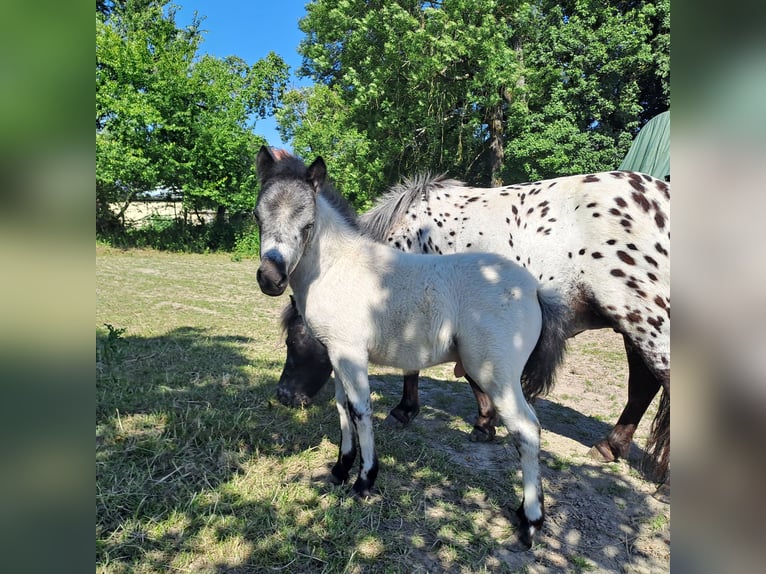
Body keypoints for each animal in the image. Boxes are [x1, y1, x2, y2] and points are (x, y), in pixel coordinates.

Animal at [255, 147, 572, 548]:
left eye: (308, 224)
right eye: (257, 216)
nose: (271, 279)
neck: (337, 269)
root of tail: (533, 289)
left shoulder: (351, 355)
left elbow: (360, 411)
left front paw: (365, 481)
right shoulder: (338, 355)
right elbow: (342, 407)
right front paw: (341, 469)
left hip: (497, 375)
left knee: (527, 431)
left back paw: (530, 521)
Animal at [276, 165, 672, 486]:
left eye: (294, 340)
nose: (283, 396)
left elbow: (440, 372)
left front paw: (420, 414)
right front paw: (481, 422)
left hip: (647, 322)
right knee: (643, 385)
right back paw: (610, 447)